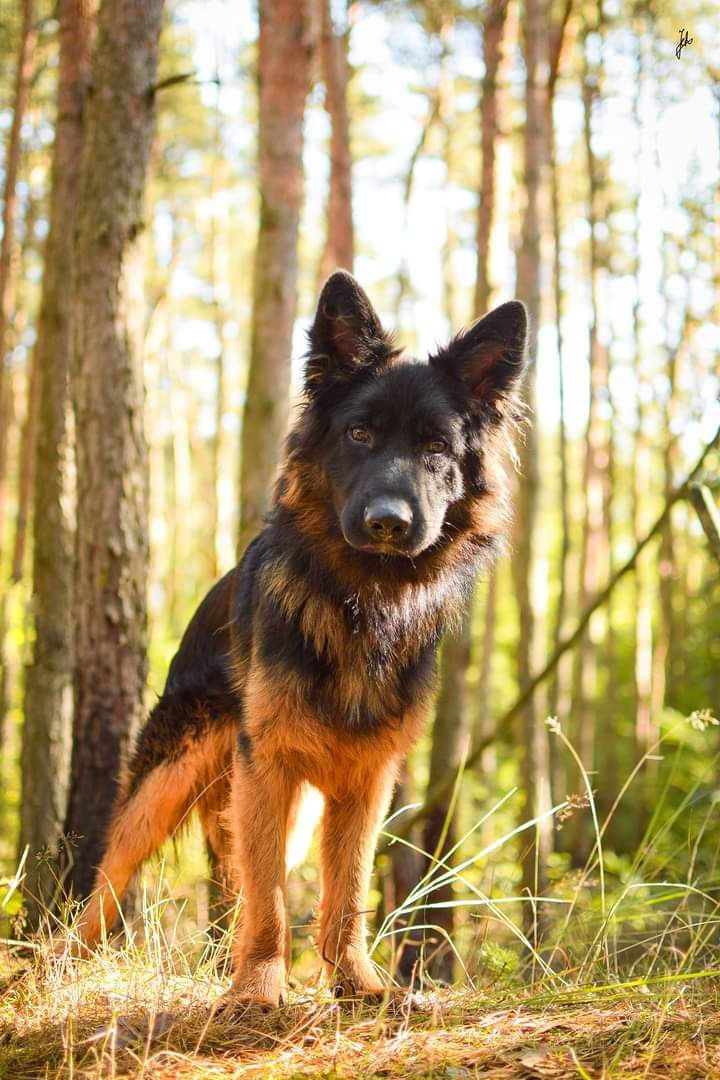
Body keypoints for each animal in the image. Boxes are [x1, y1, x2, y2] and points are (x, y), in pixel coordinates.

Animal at [77, 267, 528, 1002]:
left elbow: (348, 890)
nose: (387, 522)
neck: (364, 603)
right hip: (170, 779)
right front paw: (259, 990)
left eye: (436, 448)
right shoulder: (269, 763)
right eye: (360, 434)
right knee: (108, 883)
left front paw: (356, 983)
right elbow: (268, 898)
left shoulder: (367, 779)